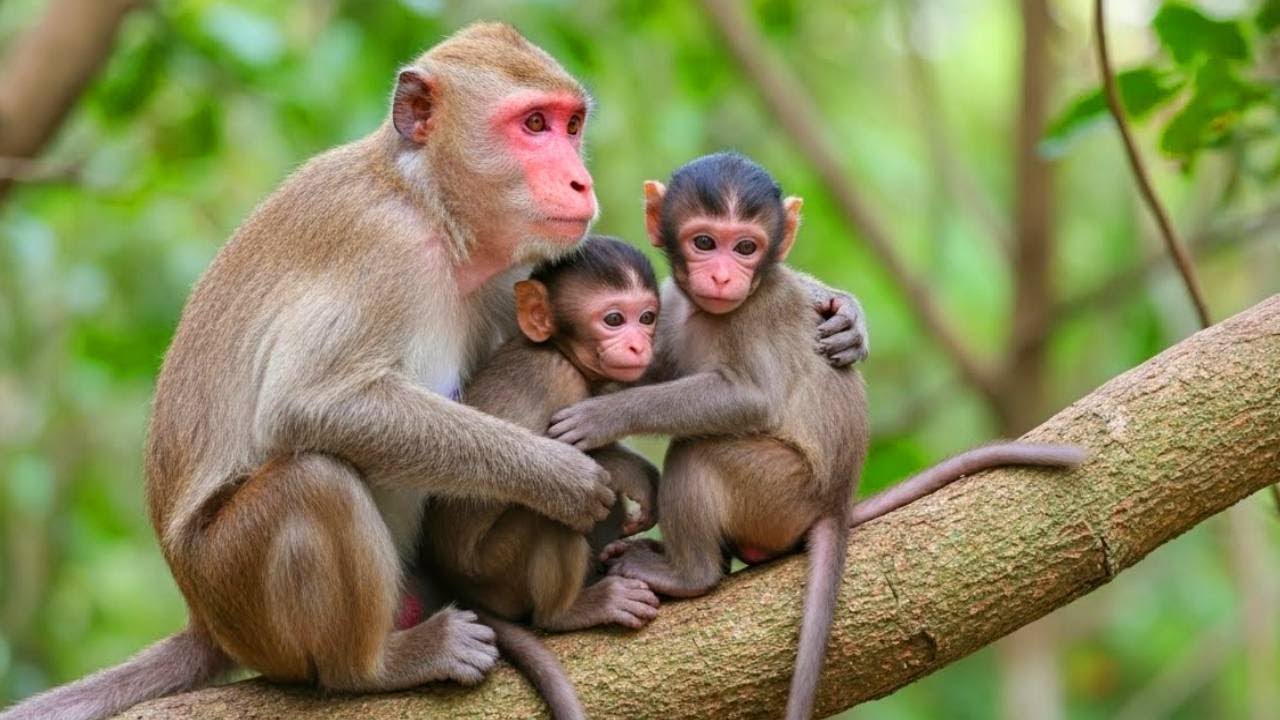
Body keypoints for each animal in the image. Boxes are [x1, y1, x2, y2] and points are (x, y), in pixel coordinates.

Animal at [546, 152, 1086, 720]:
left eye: (746, 247)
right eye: (704, 242)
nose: (721, 274)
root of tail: (836, 501)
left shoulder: (758, 316)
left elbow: (749, 398)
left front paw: (604, 414)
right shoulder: (672, 307)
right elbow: (654, 365)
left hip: (781, 493)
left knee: (701, 450)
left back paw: (689, 574)